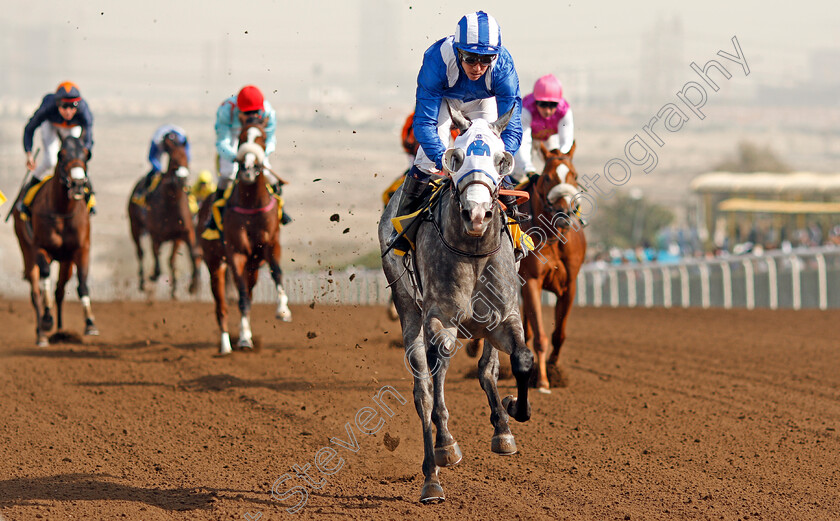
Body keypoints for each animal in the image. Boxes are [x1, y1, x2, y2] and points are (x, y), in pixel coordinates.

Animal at [13, 134, 98, 346]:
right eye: (62, 154)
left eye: (86, 154)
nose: (77, 184)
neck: (62, 211)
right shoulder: (40, 248)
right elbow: (45, 280)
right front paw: (47, 320)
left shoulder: (81, 250)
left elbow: (82, 284)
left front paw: (90, 323)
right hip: (26, 250)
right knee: (35, 292)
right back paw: (42, 334)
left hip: (66, 262)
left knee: (59, 291)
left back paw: (60, 331)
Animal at [127, 132, 199, 298]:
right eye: (174, 160)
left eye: (186, 158)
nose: (182, 178)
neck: (171, 205)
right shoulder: (156, 235)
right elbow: (157, 262)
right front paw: (153, 275)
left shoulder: (183, 233)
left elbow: (190, 254)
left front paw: (192, 286)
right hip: (134, 226)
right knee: (140, 252)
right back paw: (143, 283)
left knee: (168, 259)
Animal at [199, 114, 292, 356]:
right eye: (241, 138)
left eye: (262, 138)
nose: (248, 170)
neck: (251, 204)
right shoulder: (236, 253)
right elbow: (241, 297)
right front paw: (242, 340)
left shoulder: (271, 245)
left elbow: (277, 273)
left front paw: (283, 310)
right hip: (215, 264)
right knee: (222, 306)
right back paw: (226, 344)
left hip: (253, 267)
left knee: (249, 293)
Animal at [378, 106, 536, 504]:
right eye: (457, 156)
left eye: (501, 159)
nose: (477, 214)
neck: (473, 250)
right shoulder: (440, 320)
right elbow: (435, 382)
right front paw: (441, 453)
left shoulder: (505, 317)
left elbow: (521, 360)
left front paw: (512, 410)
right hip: (409, 310)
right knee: (424, 390)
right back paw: (434, 470)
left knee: (477, 369)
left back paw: (495, 427)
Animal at [520, 141, 588, 390]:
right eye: (547, 178)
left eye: (574, 175)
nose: (563, 214)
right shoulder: (531, 280)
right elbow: (541, 336)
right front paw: (541, 379)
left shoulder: (570, 285)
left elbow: (559, 334)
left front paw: (554, 369)